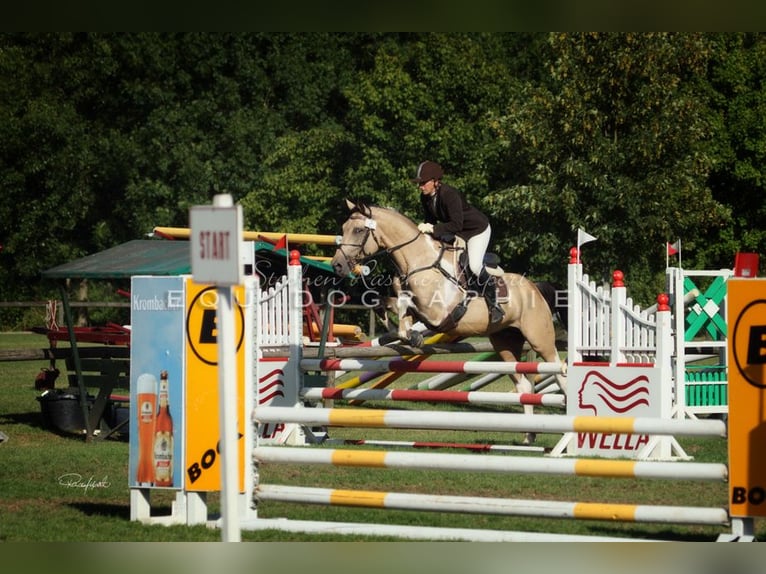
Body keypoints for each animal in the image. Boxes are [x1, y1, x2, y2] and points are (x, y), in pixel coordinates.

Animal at [332, 200, 568, 448]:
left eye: (359, 230)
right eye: (344, 228)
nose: (337, 265)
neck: (418, 260)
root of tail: (535, 287)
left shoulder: (437, 313)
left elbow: (405, 307)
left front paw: (411, 334)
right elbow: (389, 306)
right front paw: (400, 330)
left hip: (540, 340)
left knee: (560, 374)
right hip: (504, 343)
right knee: (523, 384)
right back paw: (529, 435)